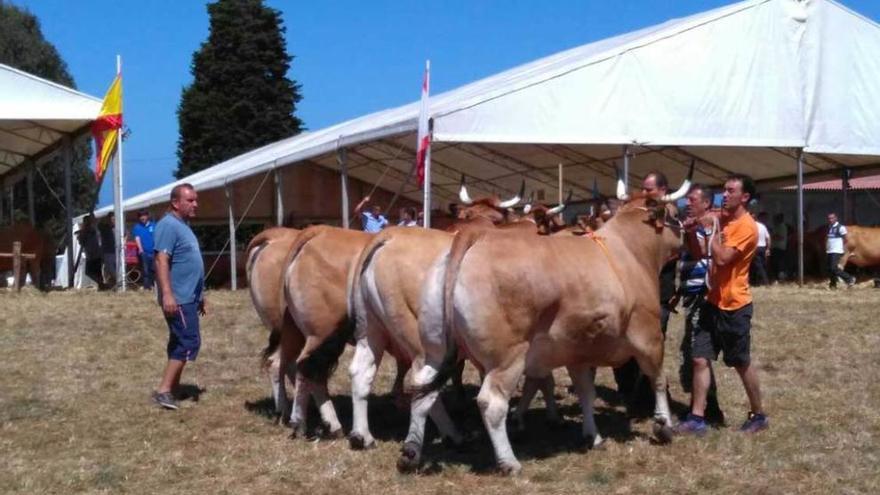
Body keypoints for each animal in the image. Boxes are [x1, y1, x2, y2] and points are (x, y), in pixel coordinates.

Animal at [402, 171, 692, 476]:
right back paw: (509, 462)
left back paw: (411, 452)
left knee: (421, 390)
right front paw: (663, 425)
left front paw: (593, 436)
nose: (685, 236)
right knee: (491, 402)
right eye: (675, 214)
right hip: (507, 357)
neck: (629, 250)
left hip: (435, 349)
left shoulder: (578, 349)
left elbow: (586, 392)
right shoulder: (649, 336)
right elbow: (657, 379)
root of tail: (475, 234)